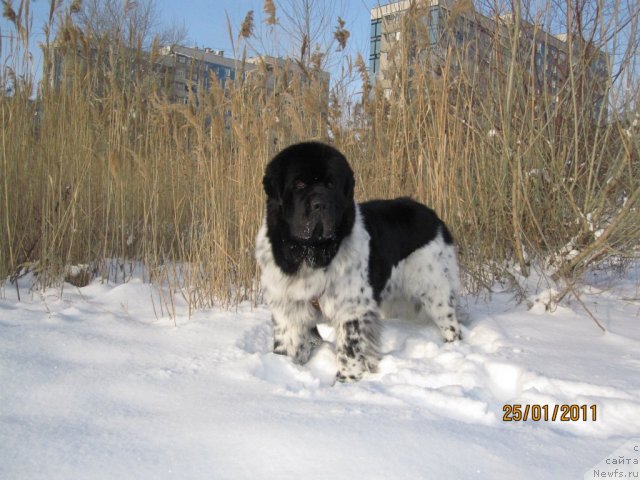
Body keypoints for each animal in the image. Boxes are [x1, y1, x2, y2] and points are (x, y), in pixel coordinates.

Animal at [255, 142, 460, 382]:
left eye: (331, 183)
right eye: (299, 183)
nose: (320, 203)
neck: (311, 252)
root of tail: (432, 216)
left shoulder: (352, 307)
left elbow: (349, 350)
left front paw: (346, 381)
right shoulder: (286, 307)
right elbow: (289, 344)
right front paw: (285, 369)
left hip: (435, 287)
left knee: (450, 323)